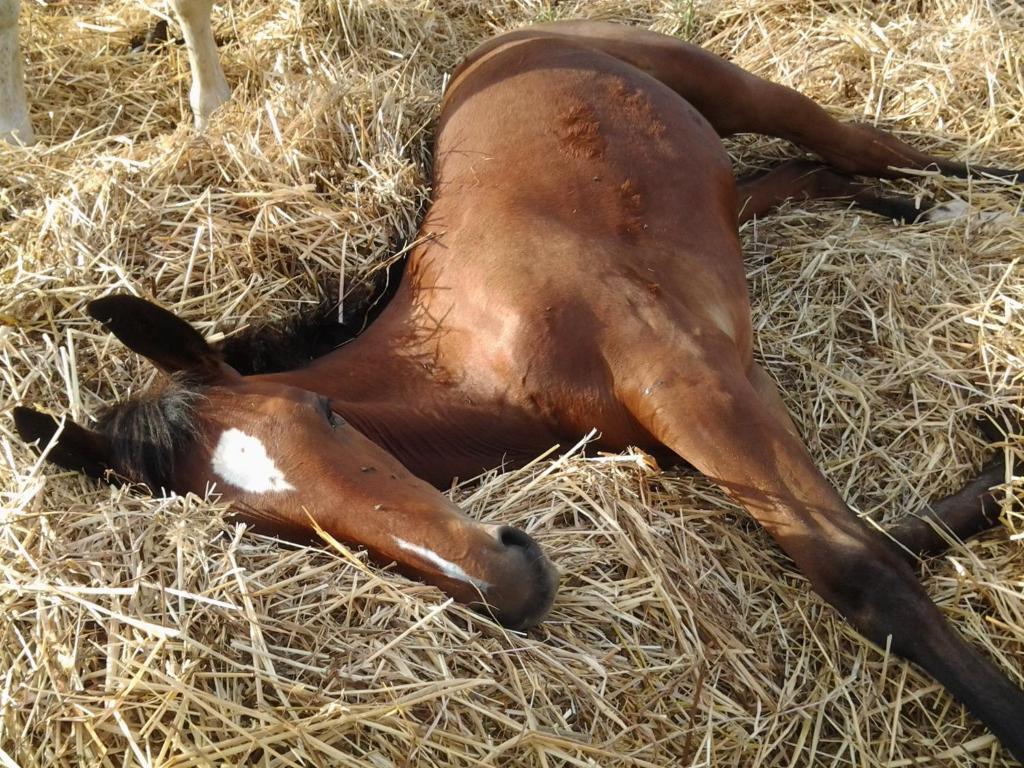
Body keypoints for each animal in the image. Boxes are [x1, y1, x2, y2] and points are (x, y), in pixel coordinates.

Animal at [14, 20, 1024, 765]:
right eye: (269, 528)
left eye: (323, 415)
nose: (513, 583)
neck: (482, 354)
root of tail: (505, 41)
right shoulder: (683, 424)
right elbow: (875, 543)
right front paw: (996, 469)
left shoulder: (697, 385)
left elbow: (862, 570)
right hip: (716, 206)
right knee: (803, 175)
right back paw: (907, 210)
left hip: (738, 91)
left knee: (871, 144)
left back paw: (974, 187)